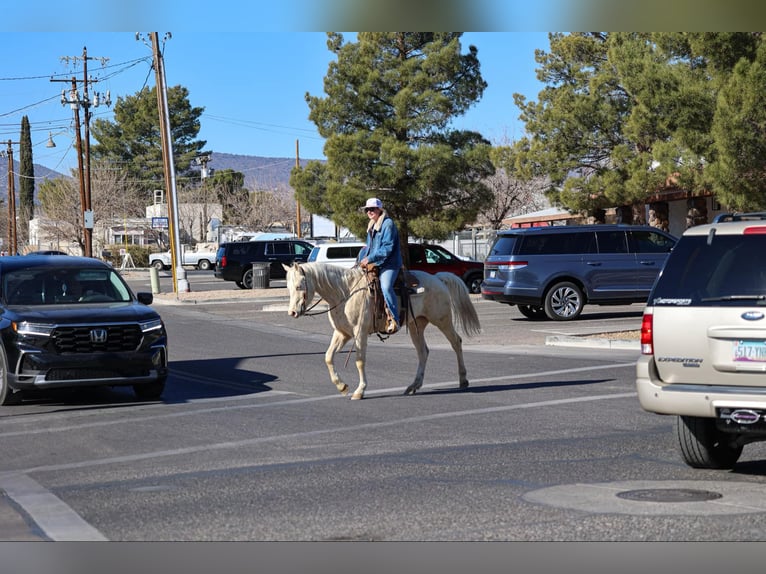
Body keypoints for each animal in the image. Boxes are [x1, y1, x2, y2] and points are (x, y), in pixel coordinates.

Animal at [283, 262, 481, 400]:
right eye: (288, 287)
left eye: (299, 286)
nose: (292, 312)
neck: (345, 292)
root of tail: (438, 279)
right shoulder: (342, 334)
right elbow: (328, 357)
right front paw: (342, 386)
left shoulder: (360, 333)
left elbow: (359, 361)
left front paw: (360, 391)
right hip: (417, 325)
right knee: (423, 352)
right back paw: (413, 386)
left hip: (442, 320)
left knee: (456, 342)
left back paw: (463, 380)